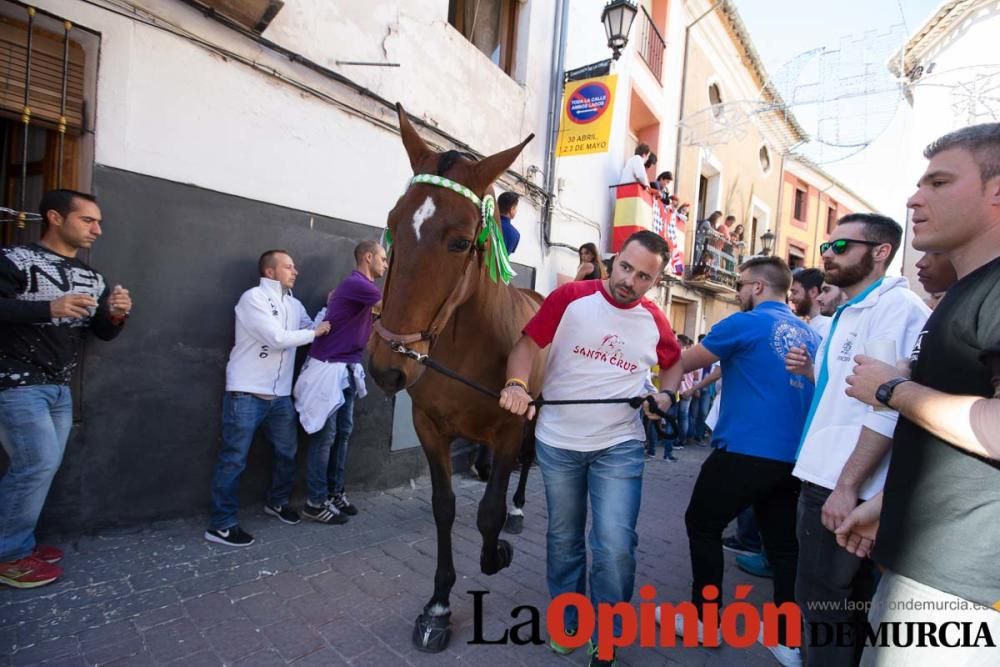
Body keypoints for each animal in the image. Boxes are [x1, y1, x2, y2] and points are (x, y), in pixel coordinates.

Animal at [366, 104, 540, 652]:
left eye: (461, 241)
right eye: (392, 224)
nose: (387, 364)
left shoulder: (508, 428)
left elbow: (488, 512)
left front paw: (497, 550)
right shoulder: (430, 426)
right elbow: (444, 507)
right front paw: (439, 606)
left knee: (527, 464)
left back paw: (520, 512)